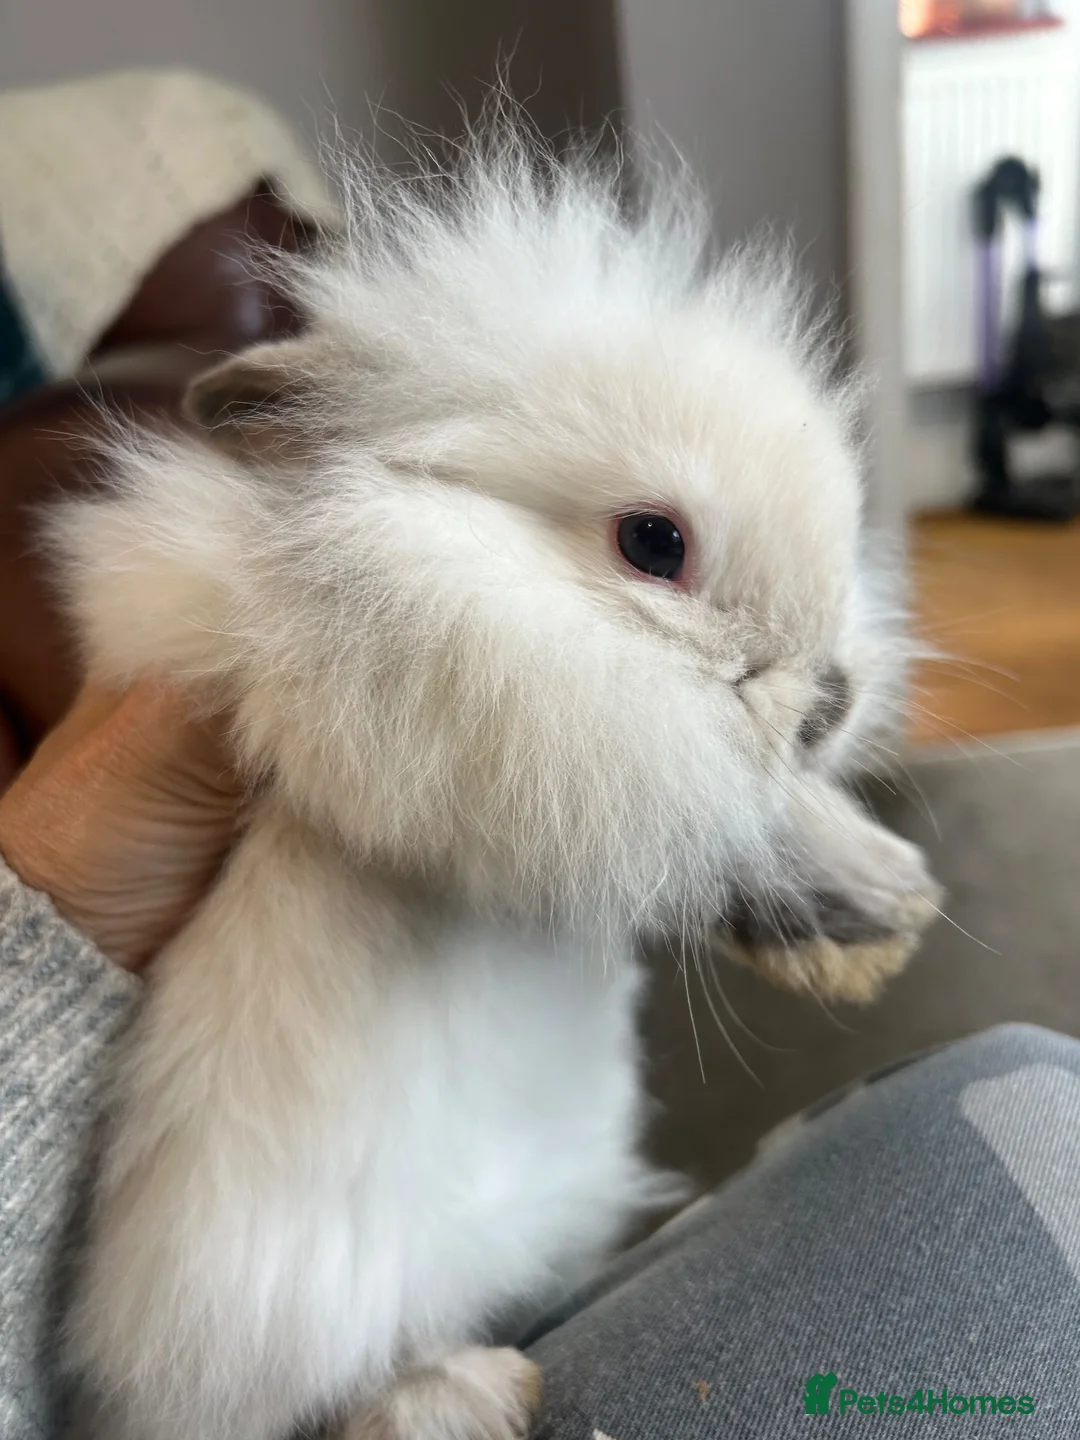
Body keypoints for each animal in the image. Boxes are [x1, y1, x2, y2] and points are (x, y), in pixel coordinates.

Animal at [56, 128, 939, 1440]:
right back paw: (464, 1394)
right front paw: (873, 892)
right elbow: (703, 821)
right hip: (251, 1298)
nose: (830, 700)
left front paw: (883, 906)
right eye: (653, 544)